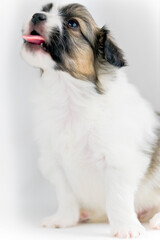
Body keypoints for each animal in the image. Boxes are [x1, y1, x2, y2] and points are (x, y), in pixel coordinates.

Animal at [21, 2, 160, 238]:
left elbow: (117, 199)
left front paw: (126, 228)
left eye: (72, 24)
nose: (36, 16)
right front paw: (64, 219)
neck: (70, 94)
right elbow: (66, 195)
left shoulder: (117, 163)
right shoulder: (56, 163)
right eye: (45, 9)